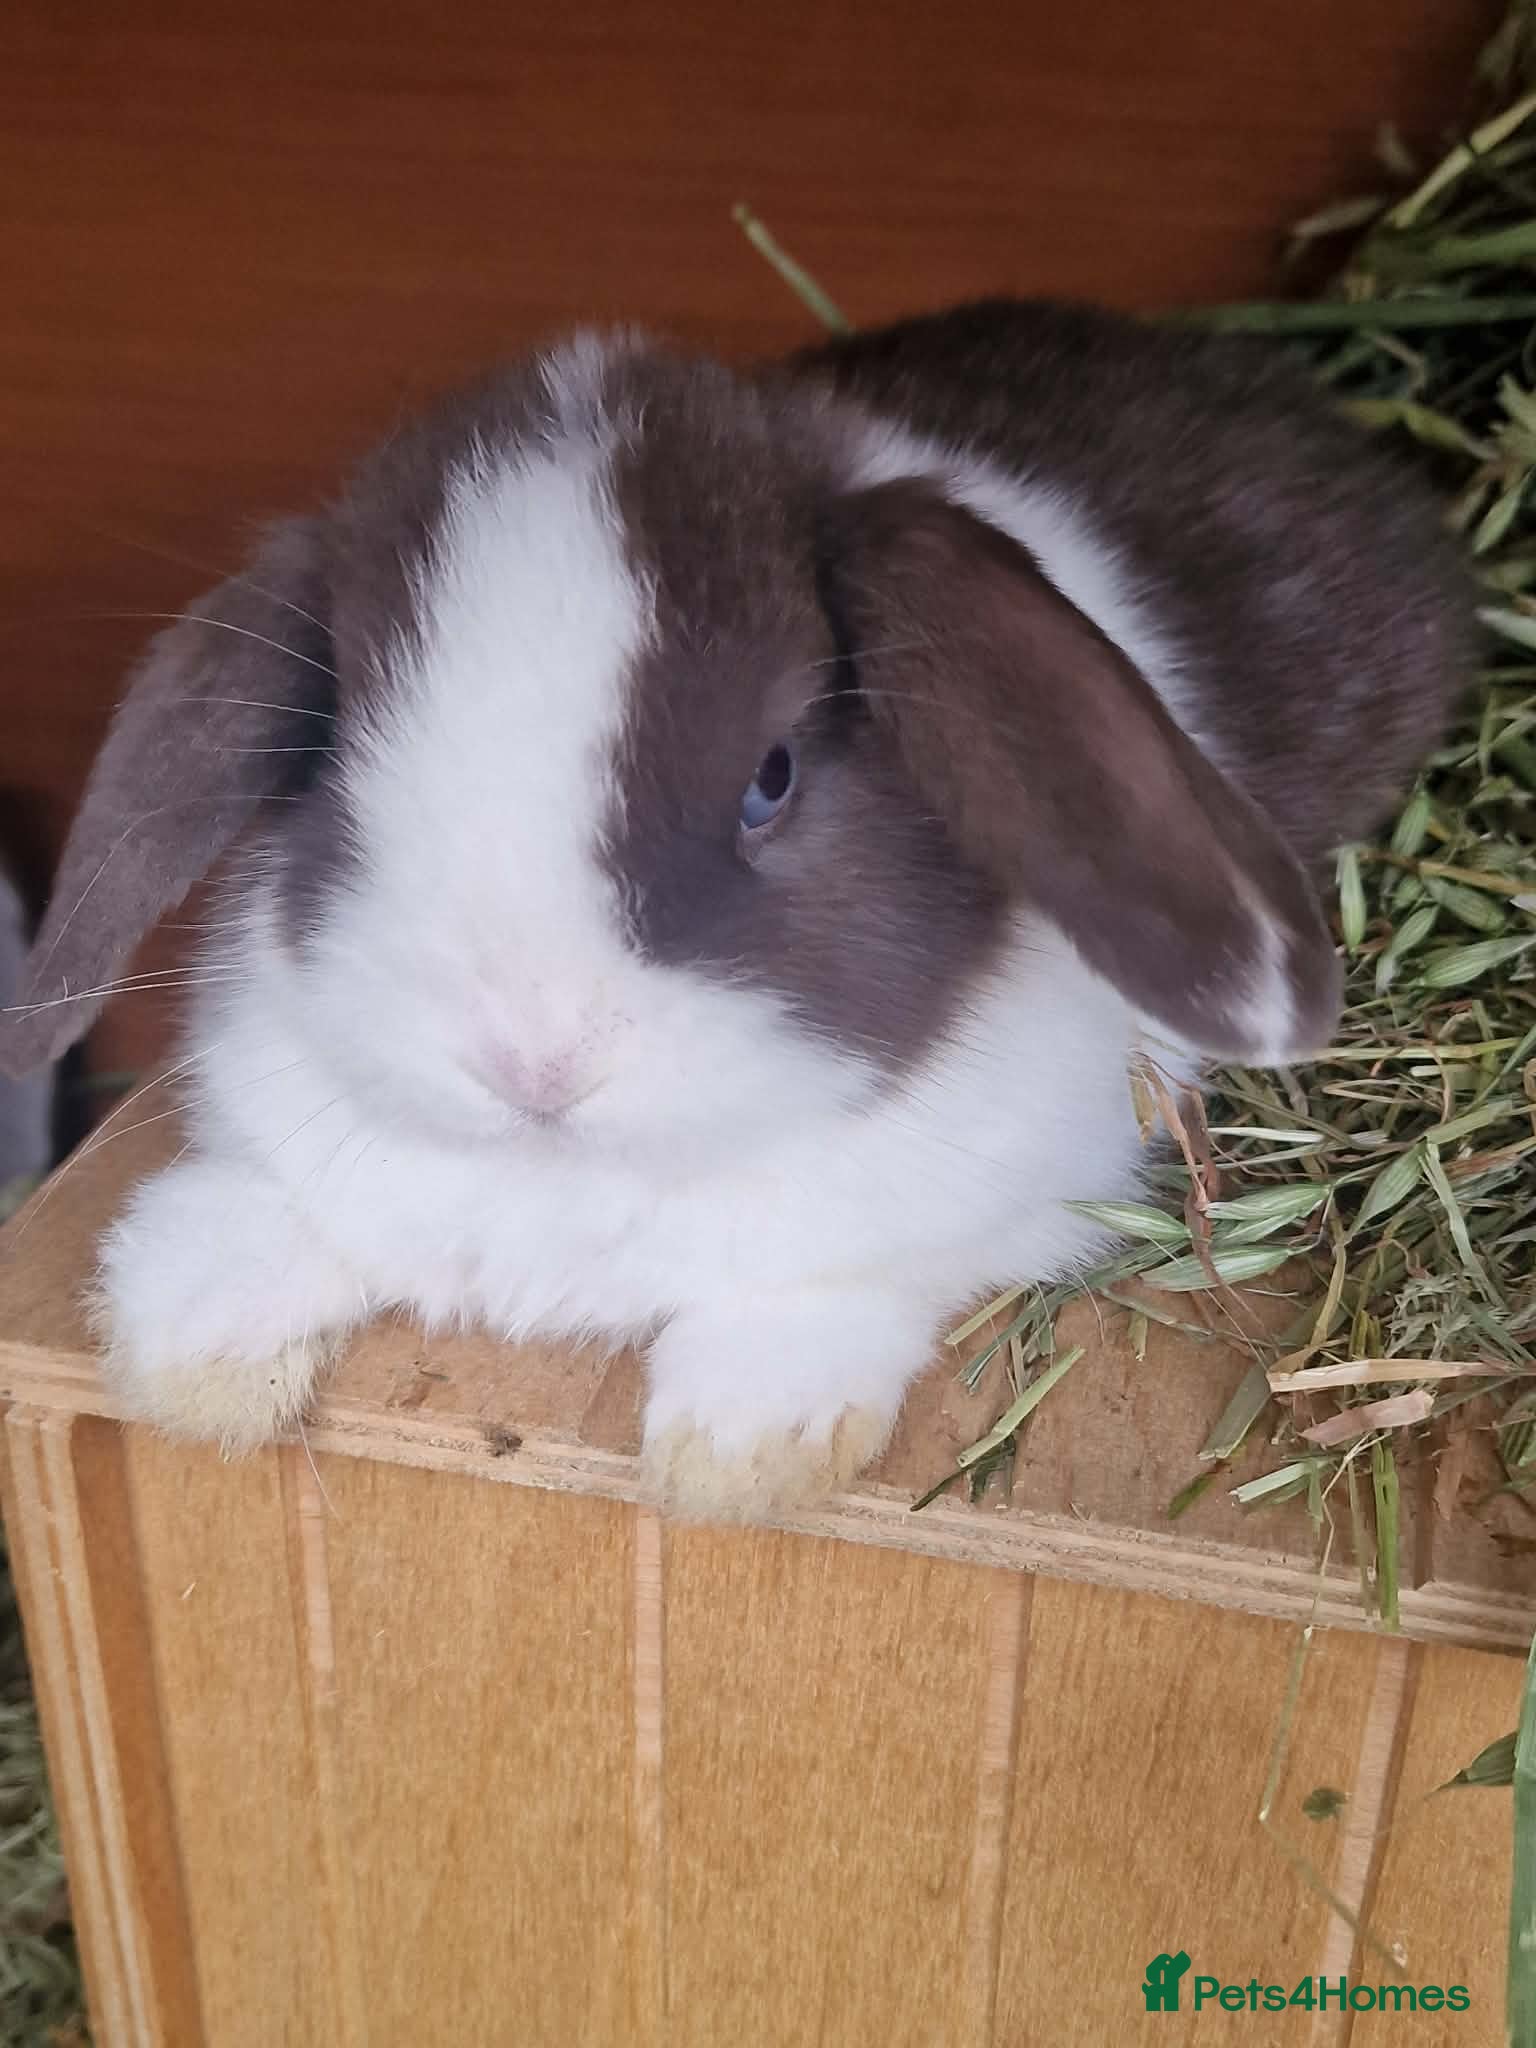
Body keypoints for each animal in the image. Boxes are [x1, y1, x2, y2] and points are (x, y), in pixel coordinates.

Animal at [0, 302, 1473, 1520]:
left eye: (771, 776)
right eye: (343, 754)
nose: (532, 1061)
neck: (567, 1185)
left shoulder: (1011, 1191)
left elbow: (830, 1288)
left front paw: (742, 1450)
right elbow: (271, 1215)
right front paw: (190, 1342)